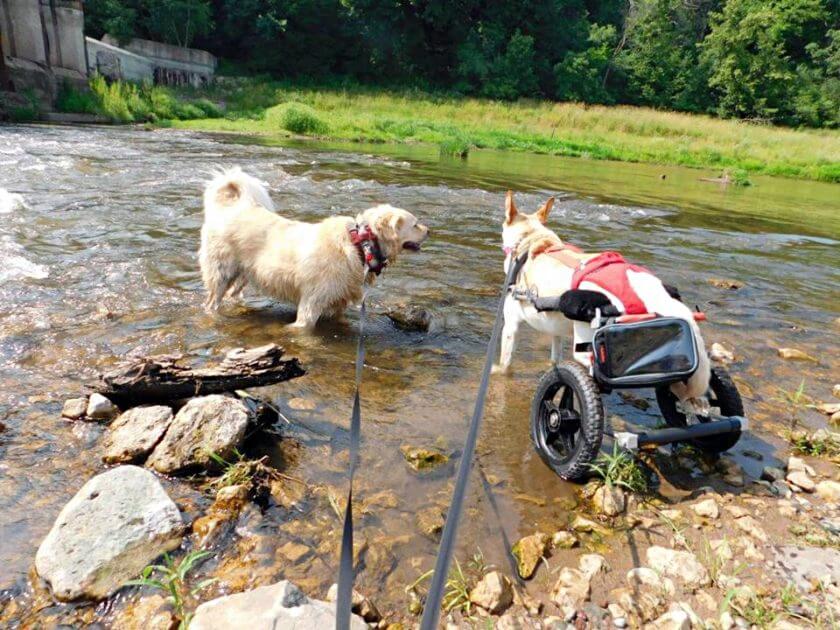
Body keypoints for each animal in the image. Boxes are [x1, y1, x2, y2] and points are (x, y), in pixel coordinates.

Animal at [200, 168, 430, 328]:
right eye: (416, 224)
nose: (429, 231)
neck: (360, 245)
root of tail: (231, 207)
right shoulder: (311, 304)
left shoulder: (338, 303)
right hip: (221, 273)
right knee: (212, 302)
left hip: (245, 274)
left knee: (233, 294)